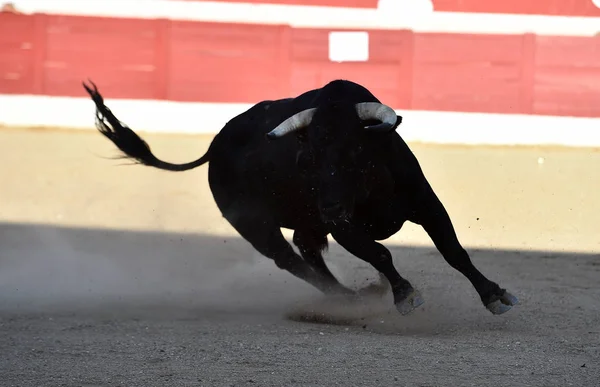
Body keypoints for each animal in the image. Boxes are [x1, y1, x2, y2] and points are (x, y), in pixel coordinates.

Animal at [82, 78, 516, 316]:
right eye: (308, 158)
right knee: (291, 260)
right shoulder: (344, 228)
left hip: (304, 222)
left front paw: (494, 294)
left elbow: (454, 251)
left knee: (306, 252)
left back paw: (352, 295)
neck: (370, 182)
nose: (330, 207)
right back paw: (349, 298)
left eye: (356, 150)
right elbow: (380, 254)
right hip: (255, 226)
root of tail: (215, 147)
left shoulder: (426, 203)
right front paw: (404, 294)